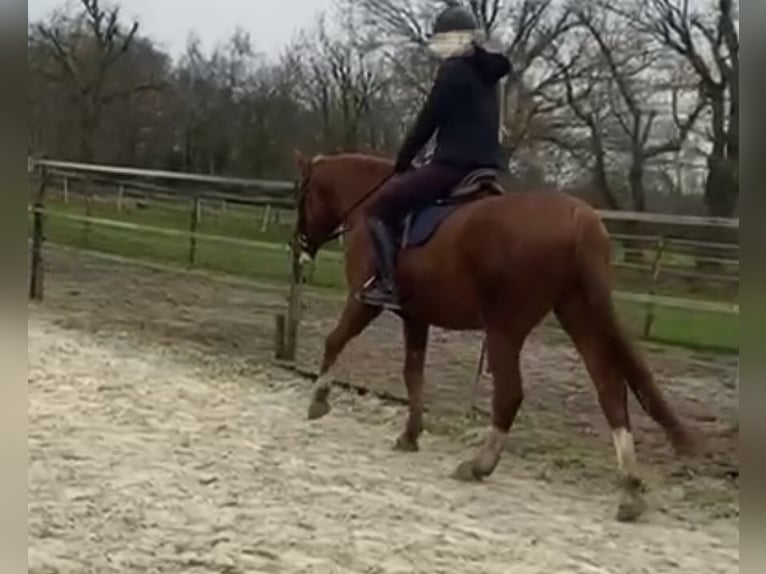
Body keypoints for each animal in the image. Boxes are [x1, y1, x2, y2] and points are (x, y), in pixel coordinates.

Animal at [293, 150, 697, 522]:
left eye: (303, 194)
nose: (301, 246)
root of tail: (579, 216)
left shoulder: (364, 303)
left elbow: (335, 339)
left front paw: (318, 401)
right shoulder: (415, 317)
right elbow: (413, 374)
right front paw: (410, 435)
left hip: (505, 328)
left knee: (510, 393)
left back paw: (478, 464)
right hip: (576, 313)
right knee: (610, 389)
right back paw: (629, 490)